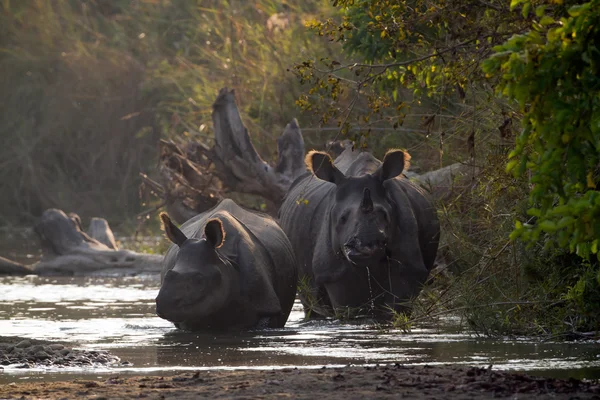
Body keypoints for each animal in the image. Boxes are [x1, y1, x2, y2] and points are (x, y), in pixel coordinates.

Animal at [278, 148, 440, 320]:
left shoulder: (409, 268)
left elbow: (396, 307)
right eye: (342, 218)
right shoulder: (332, 273)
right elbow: (349, 309)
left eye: (385, 215)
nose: (366, 247)